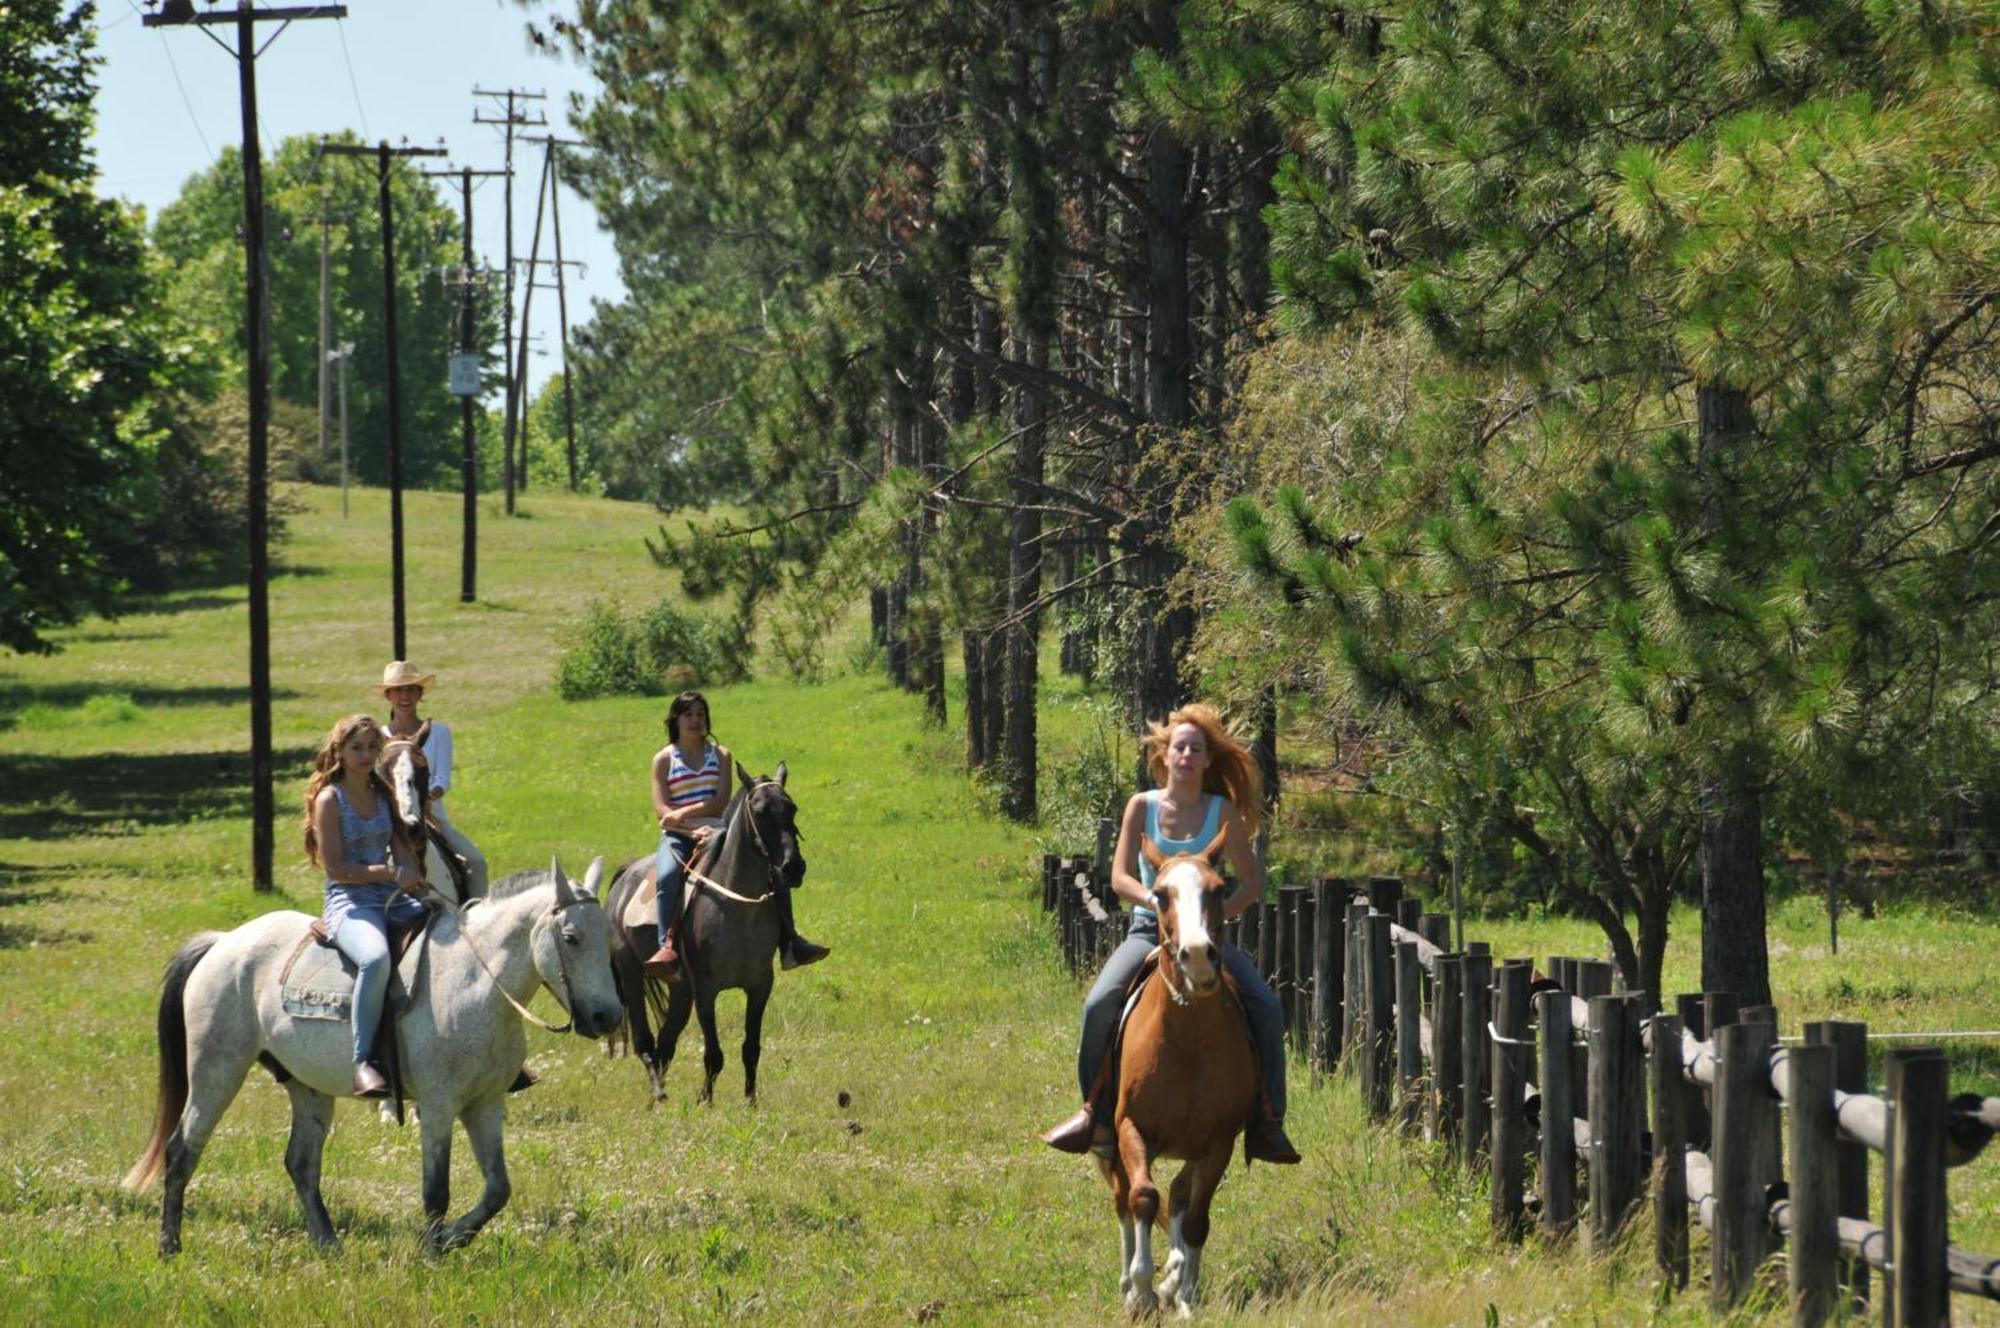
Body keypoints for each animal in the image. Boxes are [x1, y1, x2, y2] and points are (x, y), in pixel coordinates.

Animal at [121, 856, 620, 1248]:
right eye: (571, 937)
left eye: (609, 937)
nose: (607, 1017)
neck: (473, 983)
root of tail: (222, 943)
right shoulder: (438, 1107)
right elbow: (435, 1191)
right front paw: (432, 1252)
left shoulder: (485, 1104)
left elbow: (497, 1189)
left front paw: (454, 1238)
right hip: (216, 1072)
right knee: (182, 1151)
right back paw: (170, 1245)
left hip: (307, 1087)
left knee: (301, 1164)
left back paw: (328, 1244)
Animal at [600, 764, 804, 1104]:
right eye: (759, 812)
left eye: (792, 808)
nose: (793, 868)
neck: (736, 907)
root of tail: (625, 877)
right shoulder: (706, 990)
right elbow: (713, 1055)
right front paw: (704, 1104)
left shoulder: (760, 985)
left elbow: (751, 1049)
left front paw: (751, 1103)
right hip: (632, 975)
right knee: (646, 1043)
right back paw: (659, 1097)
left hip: (680, 990)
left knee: (665, 1044)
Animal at [1104, 832, 1256, 1320]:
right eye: (1160, 894)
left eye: (1218, 890)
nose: (1199, 957)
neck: (1186, 1041)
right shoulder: (1130, 1128)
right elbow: (1142, 1198)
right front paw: (1141, 1290)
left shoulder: (1218, 1141)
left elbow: (1194, 1218)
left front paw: (1182, 1292)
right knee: (1127, 1197)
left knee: (1181, 1196)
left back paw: (1174, 1276)